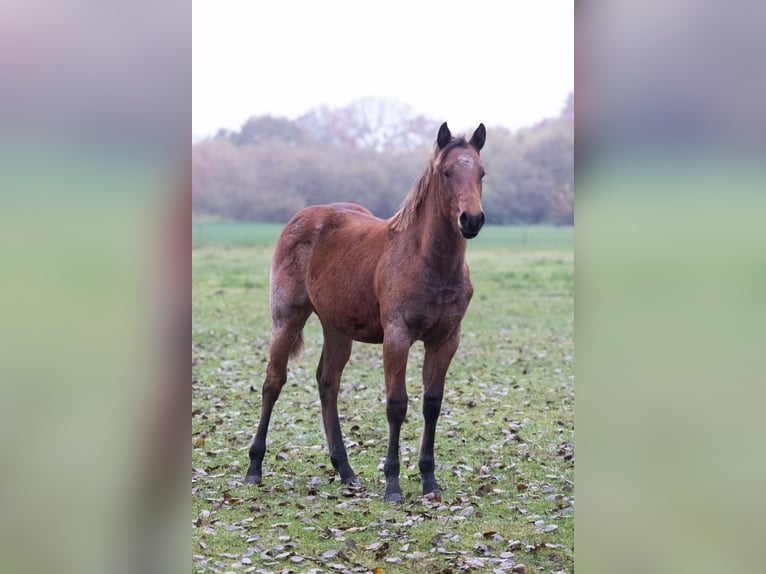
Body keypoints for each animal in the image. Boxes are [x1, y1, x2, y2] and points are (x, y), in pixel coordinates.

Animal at [245, 122, 486, 502]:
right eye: (447, 172)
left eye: (481, 173)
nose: (472, 219)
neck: (427, 260)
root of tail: (303, 216)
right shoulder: (397, 336)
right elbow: (396, 404)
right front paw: (392, 484)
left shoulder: (447, 339)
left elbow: (432, 403)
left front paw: (429, 480)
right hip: (286, 318)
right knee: (273, 381)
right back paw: (254, 468)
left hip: (337, 327)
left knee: (328, 381)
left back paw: (345, 470)